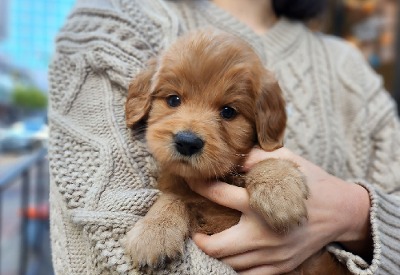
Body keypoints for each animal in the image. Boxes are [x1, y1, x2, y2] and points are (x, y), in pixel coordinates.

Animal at [123, 30, 348, 275]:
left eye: (228, 112)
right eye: (173, 99)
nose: (187, 142)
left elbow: (269, 158)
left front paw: (279, 189)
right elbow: (173, 197)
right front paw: (154, 231)